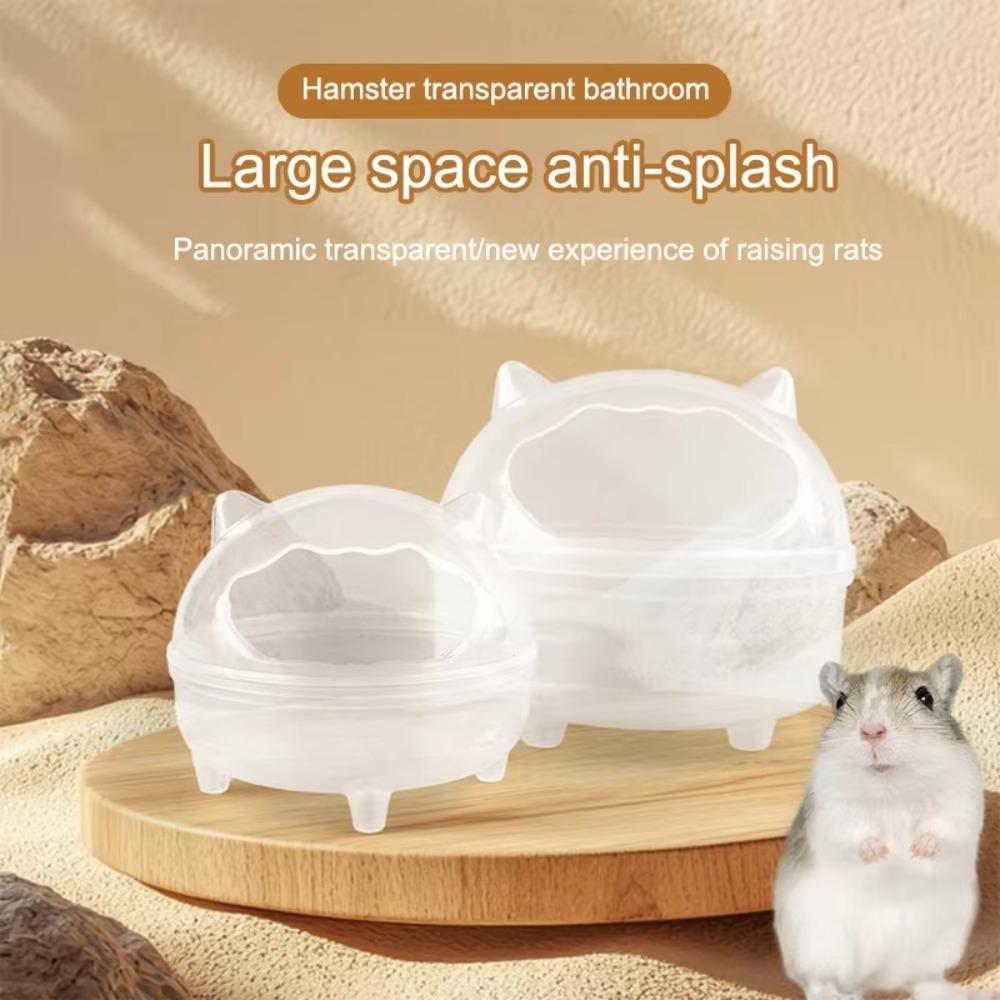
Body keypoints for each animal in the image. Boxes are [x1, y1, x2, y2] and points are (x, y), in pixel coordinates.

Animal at [774, 656, 991, 1000]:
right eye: (841, 701)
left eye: (925, 697)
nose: (872, 731)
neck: (889, 776)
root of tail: (876, 978)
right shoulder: (834, 810)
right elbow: (855, 833)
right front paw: (882, 854)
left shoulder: (958, 803)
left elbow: (941, 828)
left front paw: (915, 851)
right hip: (817, 944)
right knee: (818, 980)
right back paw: (837, 995)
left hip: (938, 944)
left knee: (922, 978)